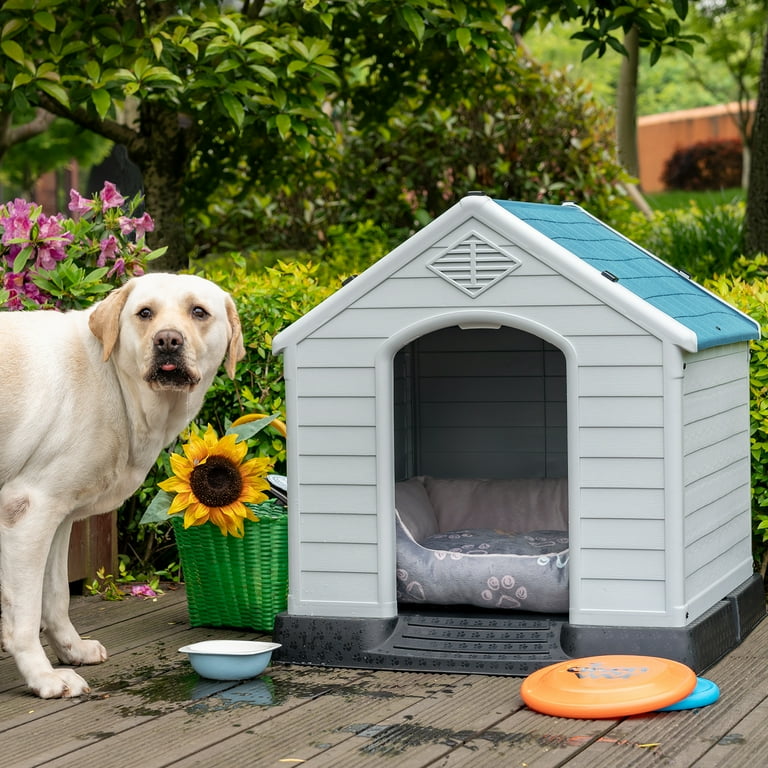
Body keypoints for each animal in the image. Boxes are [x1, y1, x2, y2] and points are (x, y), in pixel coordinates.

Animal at [0, 272, 243, 696]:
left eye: (198, 312)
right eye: (144, 313)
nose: (168, 340)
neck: (114, 382)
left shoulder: (58, 516)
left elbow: (57, 594)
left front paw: (71, 649)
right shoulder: (28, 510)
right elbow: (26, 614)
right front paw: (44, 677)